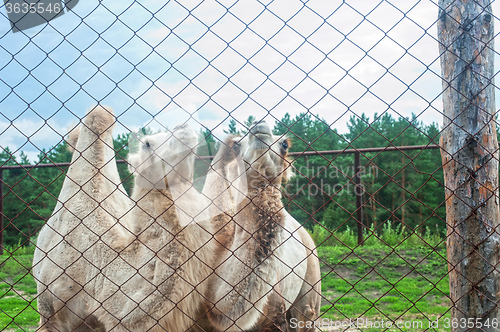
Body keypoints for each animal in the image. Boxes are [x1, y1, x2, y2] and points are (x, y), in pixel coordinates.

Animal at [201, 122, 322, 332]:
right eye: (237, 145)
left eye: (284, 144)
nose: (259, 127)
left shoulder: (274, 317)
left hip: (311, 284)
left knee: (307, 313)